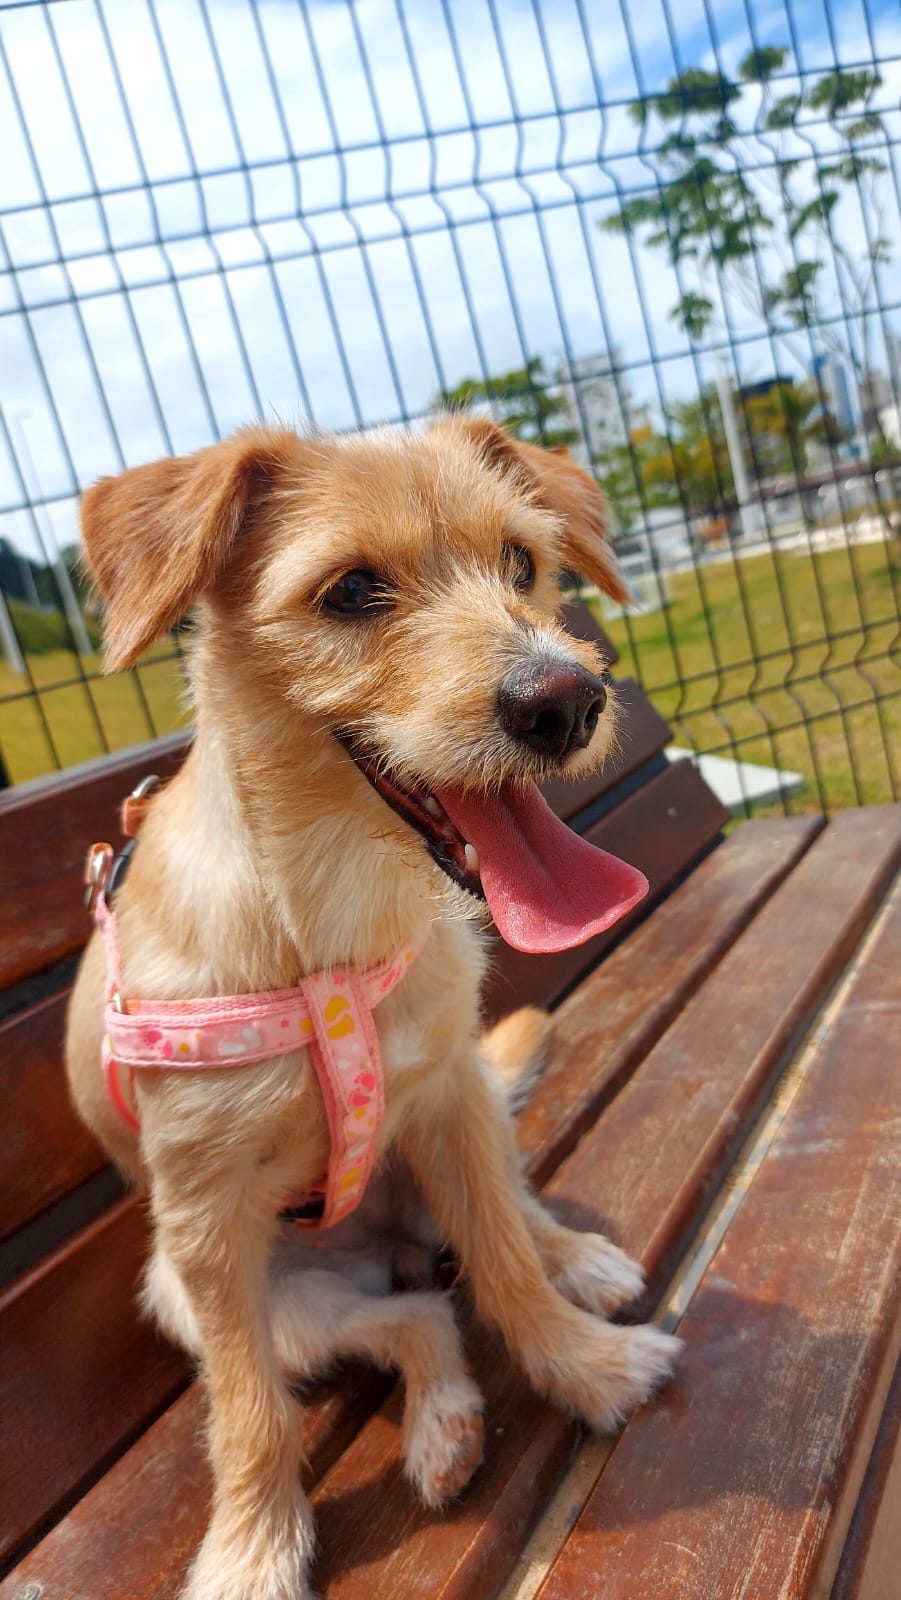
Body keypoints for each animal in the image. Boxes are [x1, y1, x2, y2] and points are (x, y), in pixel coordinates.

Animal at [66, 415, 678, 1600]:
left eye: (523, 563)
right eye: (350, 591)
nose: (565, 701)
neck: (327, 923)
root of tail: (384, 1240)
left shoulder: (445, 1097)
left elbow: (506, 1270)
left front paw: (583, 1367)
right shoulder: (206, 1229)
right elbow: (248, 1417)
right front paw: (250, 1554)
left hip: (464, 1130)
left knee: (497, 1231)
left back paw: (572, 1259)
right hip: (243, 1298)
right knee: (413, 1314)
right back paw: (440, 1423)